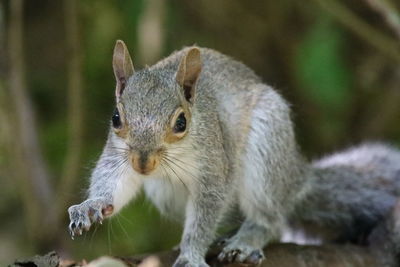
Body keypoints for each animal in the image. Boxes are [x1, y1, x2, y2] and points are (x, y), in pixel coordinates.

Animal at [68, 40, 400, 266]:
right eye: (116, 118)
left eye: (181, 122)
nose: (143, 163)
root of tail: (296, 179)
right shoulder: (118, 155)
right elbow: (113, 183)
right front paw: (91, 206)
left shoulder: (215, 167)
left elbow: (206, 213)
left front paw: (191, 254)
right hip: (166, 194)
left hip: (267, 150)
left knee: (271, 218)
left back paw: (247, 238)